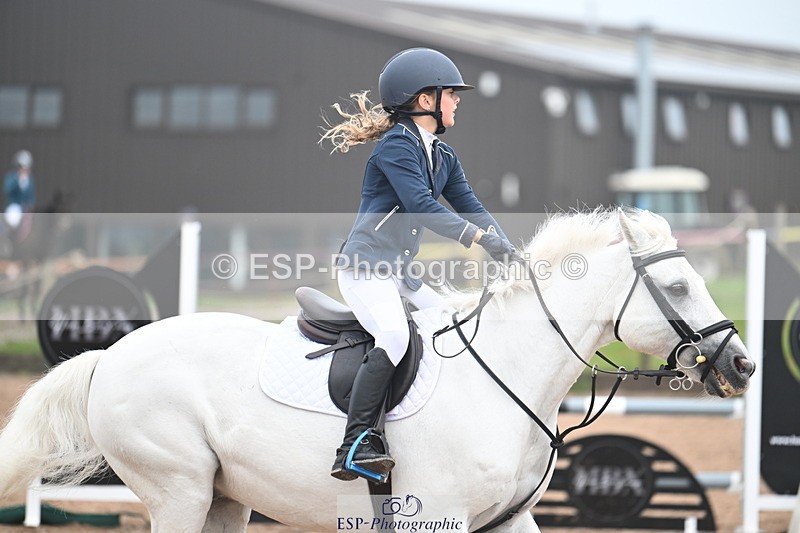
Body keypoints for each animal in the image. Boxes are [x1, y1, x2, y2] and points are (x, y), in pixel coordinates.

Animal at [0, 208, 754, 533]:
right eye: (680, 287)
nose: (744, 365)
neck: (504, 381)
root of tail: (110, 356)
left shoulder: (509, 523)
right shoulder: (439, 519)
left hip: (222, 498)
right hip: (177, 490)